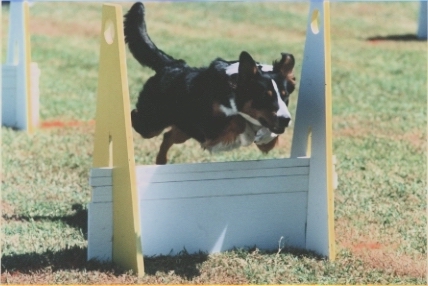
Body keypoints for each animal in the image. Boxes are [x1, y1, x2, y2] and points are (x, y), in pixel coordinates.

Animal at [125, 2, 296, 164]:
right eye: (264, 96)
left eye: (285, 96)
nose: (286, 119)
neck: (231, 89)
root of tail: (171, 65)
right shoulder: (208, 128)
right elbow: (237, 120)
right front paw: (247, 131)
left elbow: (266, 136)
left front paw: (263, 134)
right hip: (152, 122)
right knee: (134, 115)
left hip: (183, 129)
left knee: (168, 135)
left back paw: (161, 161)